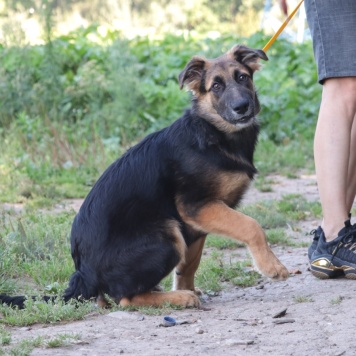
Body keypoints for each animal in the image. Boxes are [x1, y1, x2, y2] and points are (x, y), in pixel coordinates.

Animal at [0, 45, 290, 308]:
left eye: (243, 77)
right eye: (216, 86)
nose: (242, 107)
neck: (212, 133)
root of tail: (83, 274)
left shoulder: (197, 223)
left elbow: (190, 264)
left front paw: (187, 287)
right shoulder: (196, 206)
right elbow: (251, 225)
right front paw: (271, 266)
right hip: (167, 234)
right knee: (126, 298)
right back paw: (178, 299)